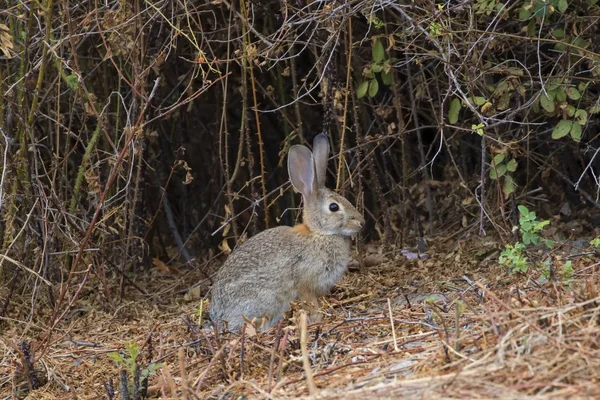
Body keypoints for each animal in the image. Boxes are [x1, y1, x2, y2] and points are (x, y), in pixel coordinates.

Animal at [209, 134, 364, 332]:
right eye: (334, 207)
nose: (361, 222)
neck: (320, 234)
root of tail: (218, 319)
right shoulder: (305, 283)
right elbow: (311, 304)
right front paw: (317, 319)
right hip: (266, 299)